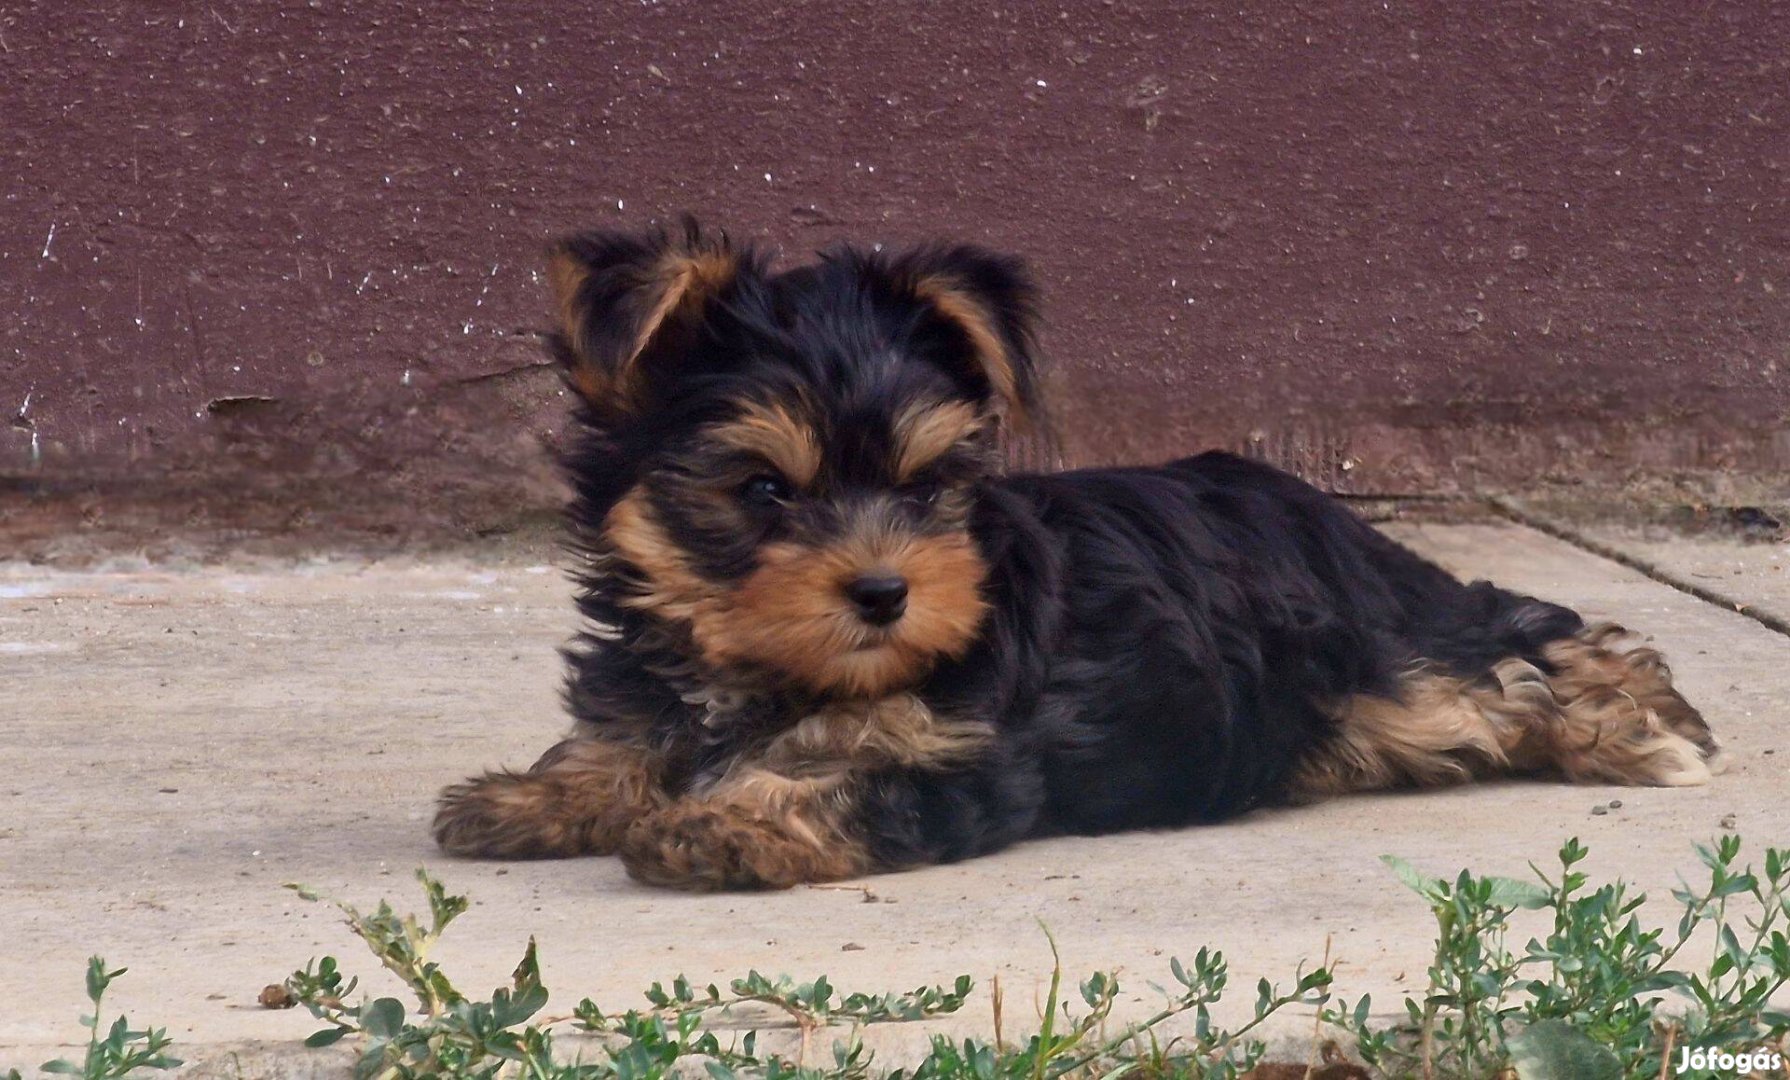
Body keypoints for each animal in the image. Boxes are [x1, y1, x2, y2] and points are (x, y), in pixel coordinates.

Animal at [433, 223, 1718, 891]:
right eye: (760, 491)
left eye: (926, 486)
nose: (885, 593)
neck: (756, 672)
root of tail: (1297, 491)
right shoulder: (657, 686)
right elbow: (621, 737)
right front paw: (535, 794)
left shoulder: (965, 758)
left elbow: (851, 778)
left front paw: (725, 822)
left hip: (1387, 651)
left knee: (1512, 646)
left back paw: (1640, 724)